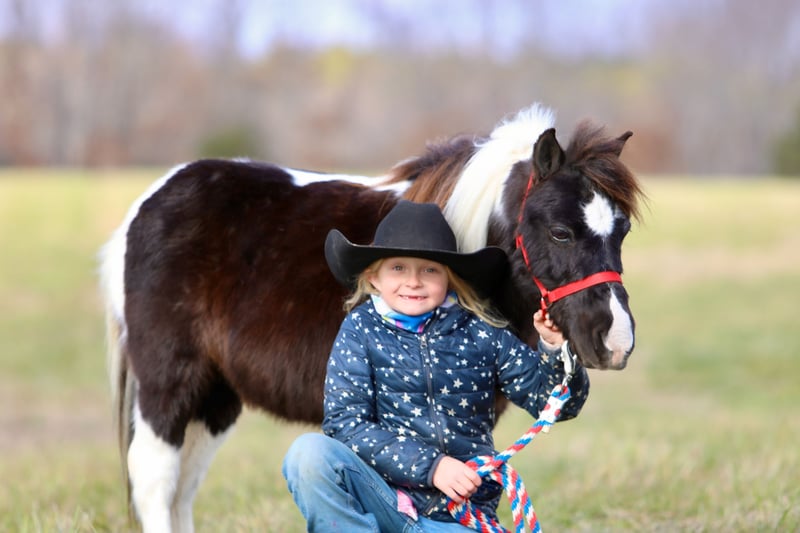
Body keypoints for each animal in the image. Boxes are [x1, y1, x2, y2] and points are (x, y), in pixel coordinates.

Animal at [100, 103, 642, 532]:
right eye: (560, 232)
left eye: (622, 231)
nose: (615, 340)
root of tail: (149, 204)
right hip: (169, 383)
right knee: (155, 481)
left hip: (215, 396)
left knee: (182, 488)